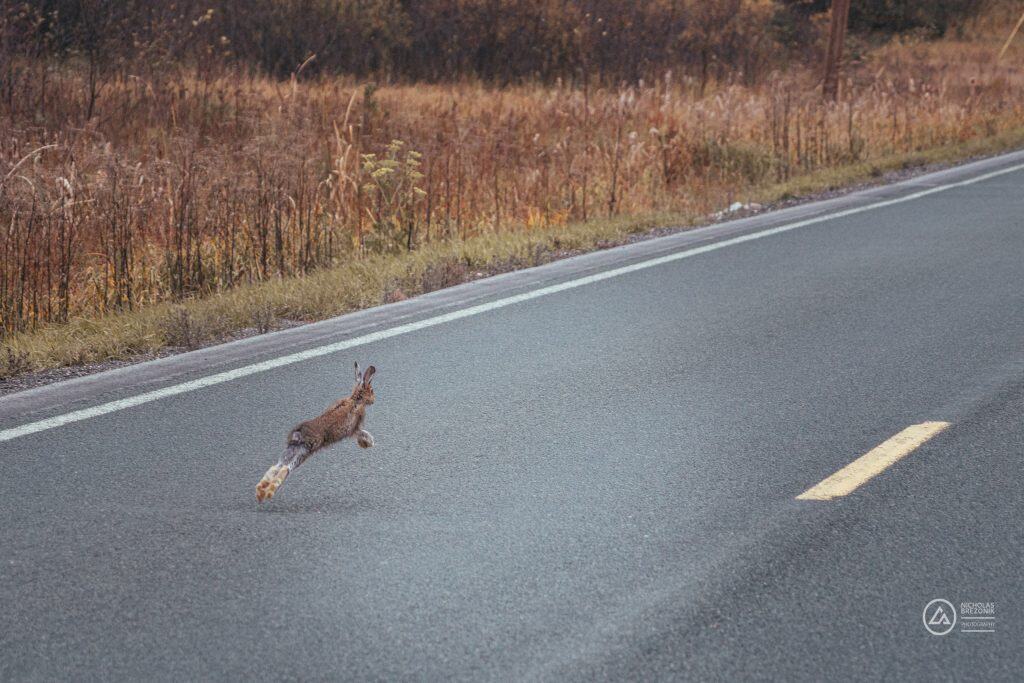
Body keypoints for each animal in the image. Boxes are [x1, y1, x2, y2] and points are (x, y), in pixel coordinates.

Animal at [256, 362, 376, 503]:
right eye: (371, 391)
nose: (374, 399)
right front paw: (369, 443)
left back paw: (260, 493)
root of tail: (297, 434)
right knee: (285, 469)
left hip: (291, 450)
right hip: (305, 451)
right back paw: (268, 493)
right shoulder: (355, 428)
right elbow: (362, 433)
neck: (356, 399)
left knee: (275, 467)